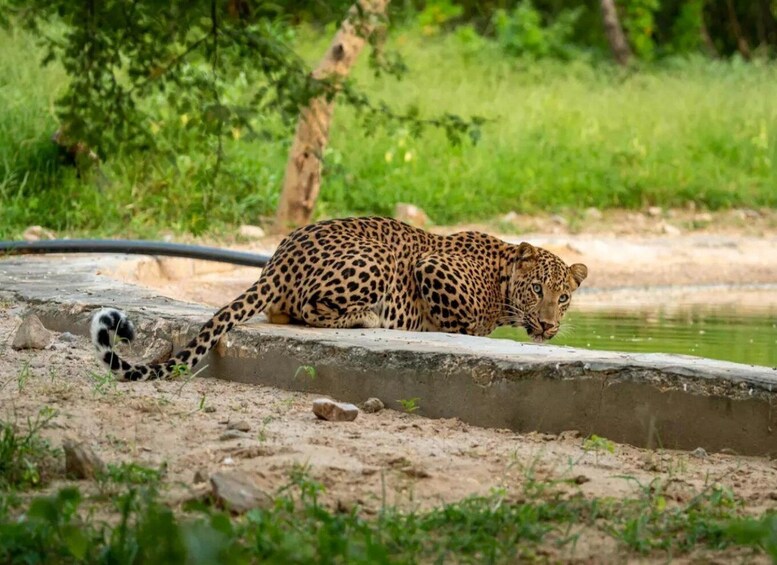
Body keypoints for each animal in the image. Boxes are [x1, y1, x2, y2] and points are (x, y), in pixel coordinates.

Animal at [91, 216, 588, 380]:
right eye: (537, 290)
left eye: (563, 297)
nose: (548, 325)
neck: (501, 278)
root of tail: (278, 259)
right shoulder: (431, 265)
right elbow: (464, 323)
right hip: (377, 260)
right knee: (312, 309)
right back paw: (368, 318)